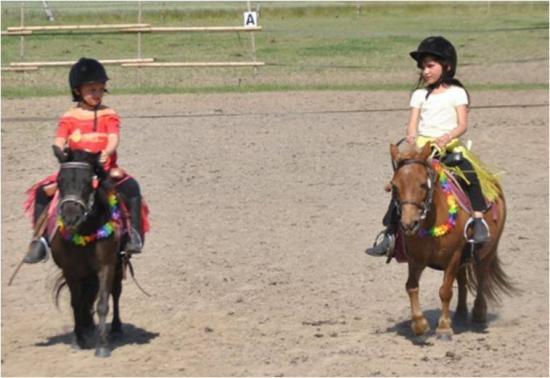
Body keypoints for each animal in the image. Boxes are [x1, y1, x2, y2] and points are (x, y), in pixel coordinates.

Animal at [51, 146, 123, 356]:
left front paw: (102, 346)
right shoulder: (71, 270)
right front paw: (78, 339)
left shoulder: (107, 266)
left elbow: (103, 303)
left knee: (116, 292)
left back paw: (116, 328)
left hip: (119, 265)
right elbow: (76, 303)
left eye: (88, 182)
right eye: (60, 180)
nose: (70, 216)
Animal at [390, 142, 516, 340]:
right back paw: (460, 314)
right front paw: (419, 325)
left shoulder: (452, 257)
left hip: (487, 251)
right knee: (463, 281)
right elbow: (411, 286)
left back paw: (478, 315)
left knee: (481, 278)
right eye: (395, 186)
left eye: (423, 184)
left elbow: (445, 290)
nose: (409, 224)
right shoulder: (416, 258)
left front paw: (443, 328)